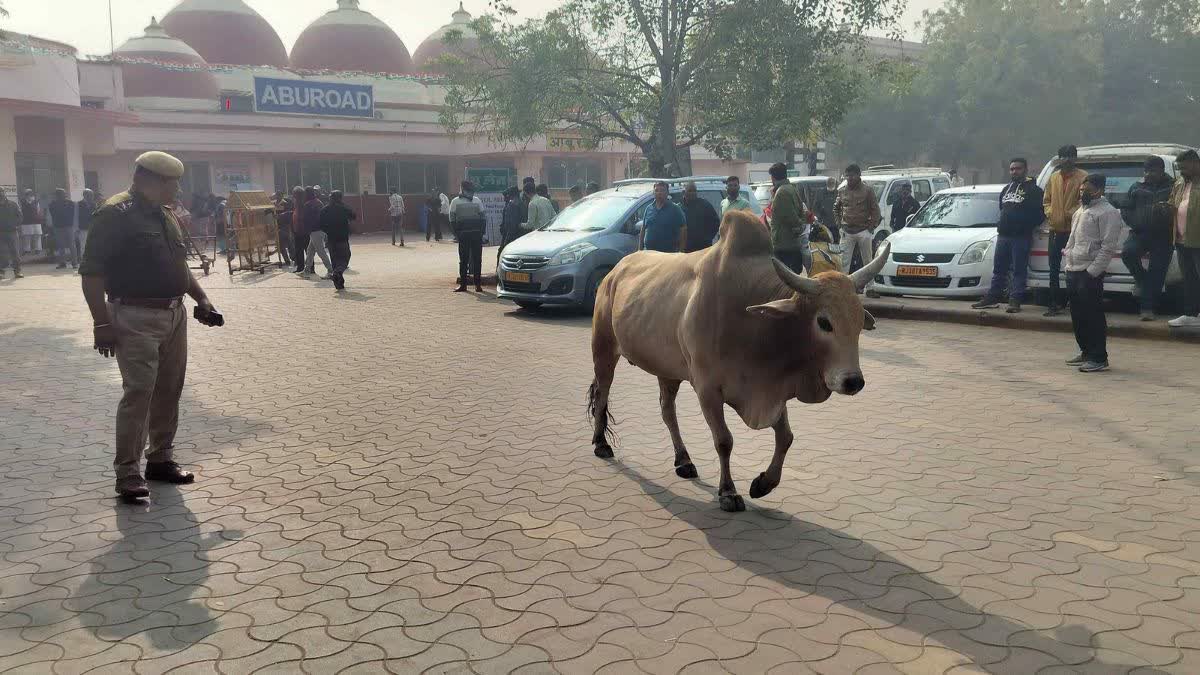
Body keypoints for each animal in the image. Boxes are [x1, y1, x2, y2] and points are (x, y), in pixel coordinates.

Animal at [585, 210, 888, 509]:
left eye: (859, 323)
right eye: (824, 322)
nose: (853, 381)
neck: (754, 322)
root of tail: (616, 270)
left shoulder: (771, 389)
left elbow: (786, 437)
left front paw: (764, 483)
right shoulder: (707, 389)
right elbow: (724, 441)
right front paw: (728, 492)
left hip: (667, 369)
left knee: (667, 410)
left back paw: (684, 460)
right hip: (603, 350)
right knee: (602, 393)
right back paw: (601, 444)